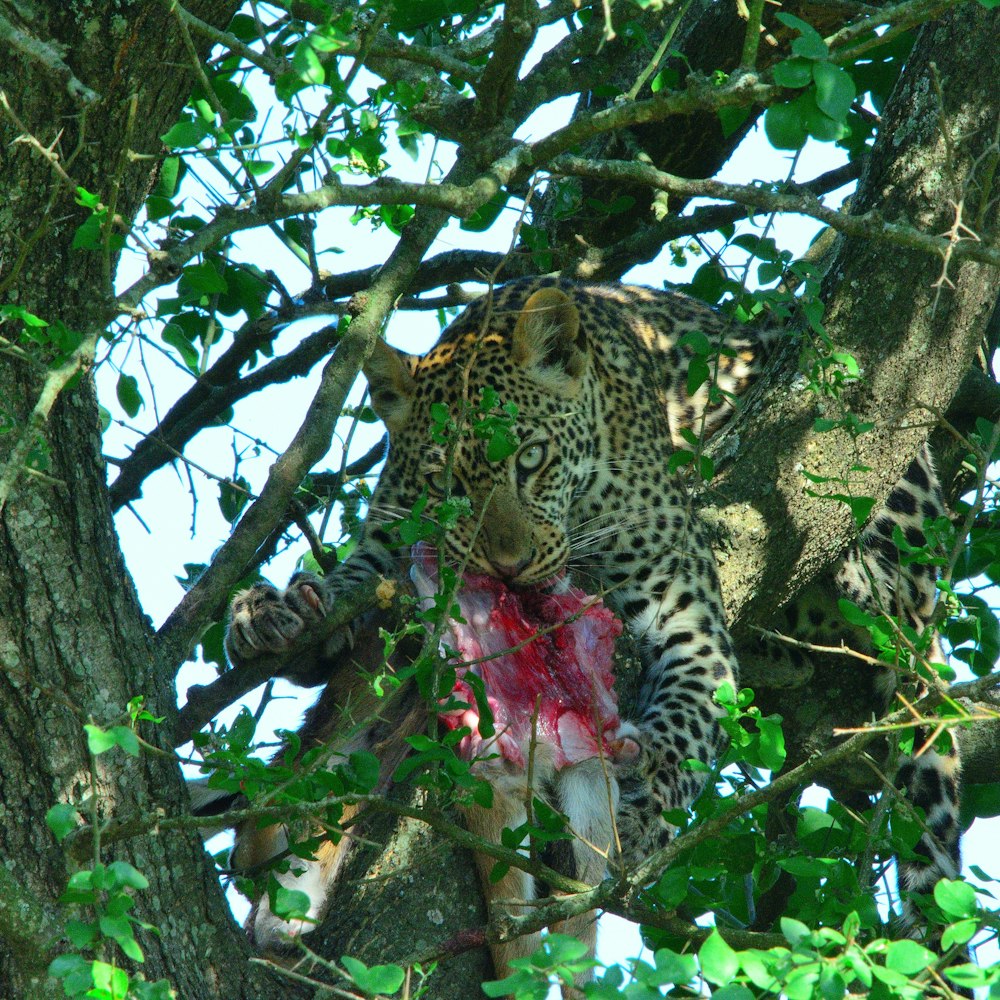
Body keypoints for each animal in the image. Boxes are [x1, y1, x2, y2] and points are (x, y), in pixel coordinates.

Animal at [213, 278, 960, 980]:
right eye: (447, 483)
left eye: (532, 457)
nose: (508, 565)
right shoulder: (390, 534)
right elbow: (355, 582)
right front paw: (281, 612)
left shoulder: (685, 610)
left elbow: (687, 724)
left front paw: (643, 805)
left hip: (893, 503)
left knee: (889, 597)